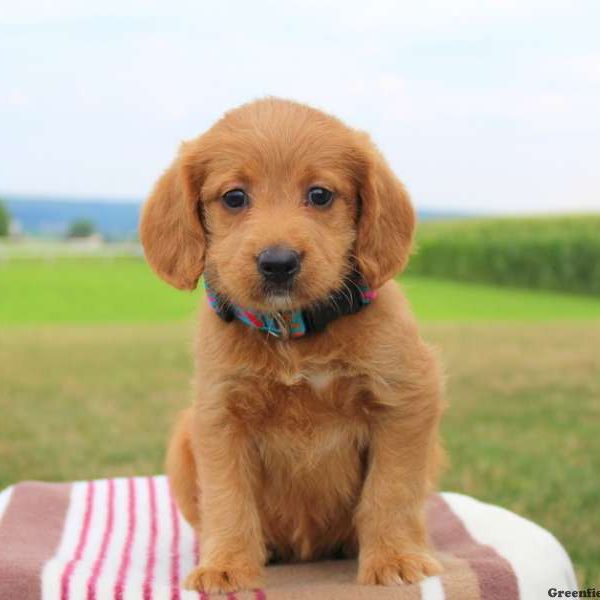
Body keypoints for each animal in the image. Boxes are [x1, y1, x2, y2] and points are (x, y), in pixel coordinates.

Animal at [141, 97, 446, 592]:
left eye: (320, 195)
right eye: (234, 198)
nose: (278, 262)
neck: (293, 336)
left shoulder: (404, 403)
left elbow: (391, 490)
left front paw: (395, 558)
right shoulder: (219, 419)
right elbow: (227, 499)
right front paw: (227, 564)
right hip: (183, 439)